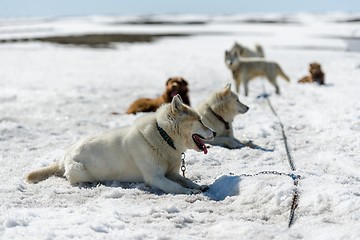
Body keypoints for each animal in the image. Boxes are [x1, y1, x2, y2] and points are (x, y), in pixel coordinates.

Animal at [27, 95, 217, 195]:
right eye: (200, 120)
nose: (215, 133)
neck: (164, 136)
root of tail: (65, 156)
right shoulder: (155, 178)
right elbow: (176, 187)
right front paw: (190, 192)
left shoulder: (171, 173)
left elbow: (186, 180)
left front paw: (198, 186)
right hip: (79, 170)